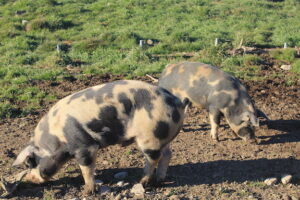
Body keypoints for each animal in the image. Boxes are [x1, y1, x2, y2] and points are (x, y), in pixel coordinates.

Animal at [12, 80, 189, 195]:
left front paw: (87, 192)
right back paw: (159, 179)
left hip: (150, 136)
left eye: (30, 162)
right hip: (163, 136)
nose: (30, 179)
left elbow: (87, 169)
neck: (57, 138)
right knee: (167, 154)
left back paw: (141, 181)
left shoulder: (85, 146)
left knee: (153, 158)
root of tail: (177, 102)